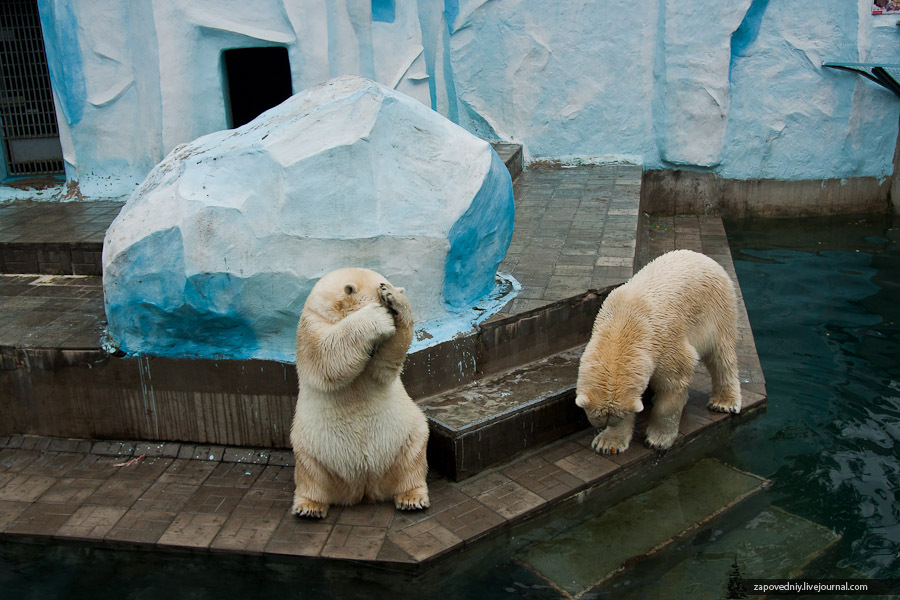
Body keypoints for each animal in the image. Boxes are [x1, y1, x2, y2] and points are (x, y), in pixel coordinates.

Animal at [288, 268, 428, 516]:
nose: (390, 307)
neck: (333, 309)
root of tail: (363, 486)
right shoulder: (312, 323)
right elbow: (324, 355)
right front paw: (376, 318)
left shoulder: (377, 367)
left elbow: (386, 362)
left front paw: (395, 298)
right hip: (309, 446)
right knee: (312, 475)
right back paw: (309, 507)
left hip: (407, 436)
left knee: (411, 461)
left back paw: (412, 498)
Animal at [580, 250, 740, 454]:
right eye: (606, 420)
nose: (604, 426)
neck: (623, 325)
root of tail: (704, 257)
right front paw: (608, 443)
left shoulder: (665, 342)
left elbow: (674, 384)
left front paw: (657, 440)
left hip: (718, 310)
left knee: (721, 356)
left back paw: (724, 402)